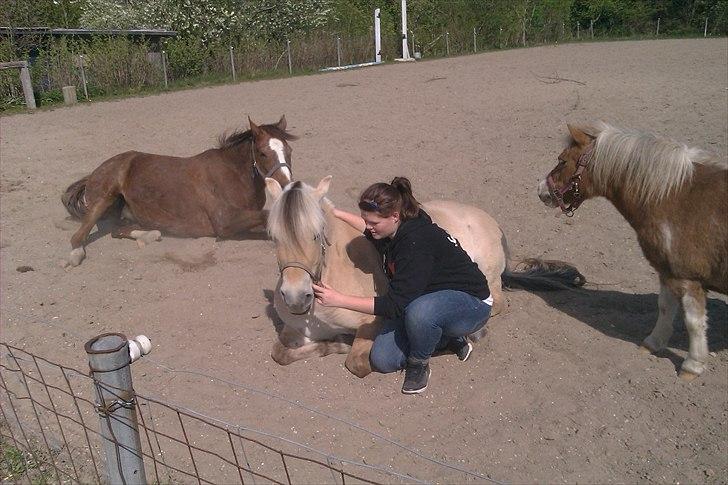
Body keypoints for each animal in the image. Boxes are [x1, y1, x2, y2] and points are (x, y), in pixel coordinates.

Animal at [60, 117, 296, 266]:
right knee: (80, 234)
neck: (233, 174)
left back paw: (150, 235)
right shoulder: (225, 222)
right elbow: (267, 216)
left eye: (289, 150)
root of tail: (92, 174)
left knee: (117, 230)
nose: (287, 185)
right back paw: (75, 254)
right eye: (263, 153)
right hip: (105, 197)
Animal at [264, 176, 584, 376]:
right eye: (273, 237)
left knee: (496, 304)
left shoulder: (374, 322)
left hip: (488, 281)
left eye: (316, 234)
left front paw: (342, 343)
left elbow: (357, 363)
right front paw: (333, 342)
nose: (296, 298)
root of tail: (492, 224)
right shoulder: (296, 331)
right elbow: (279, 353)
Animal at [536, 121, 724, 378]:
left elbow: (694, 322)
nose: (541, 191)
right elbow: (665, 307)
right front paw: (653, 343)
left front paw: (692, 365)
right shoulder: (666, 271)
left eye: (563, 160)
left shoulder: (687, 278)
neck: (675, 197)